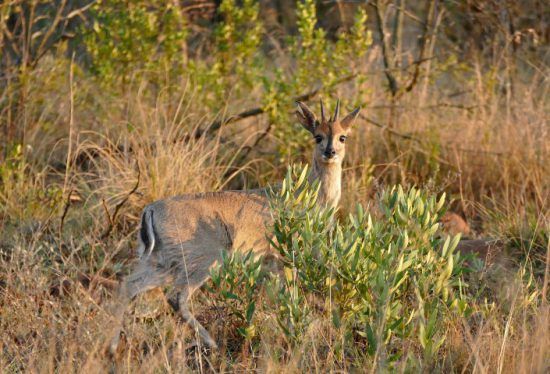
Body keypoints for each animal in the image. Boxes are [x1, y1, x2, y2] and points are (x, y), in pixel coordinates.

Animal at [109, 99, 362, 354]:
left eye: (342, 137)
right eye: (317, 136)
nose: (330, 152)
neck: (310, 196)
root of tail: (150, 209)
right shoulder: (288, 255)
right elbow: (291, 295)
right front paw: (294, 336)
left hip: (160, 262)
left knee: (128, 285)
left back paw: (111, 347)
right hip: (200, 261)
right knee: (176, 297)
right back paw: (212, 343)